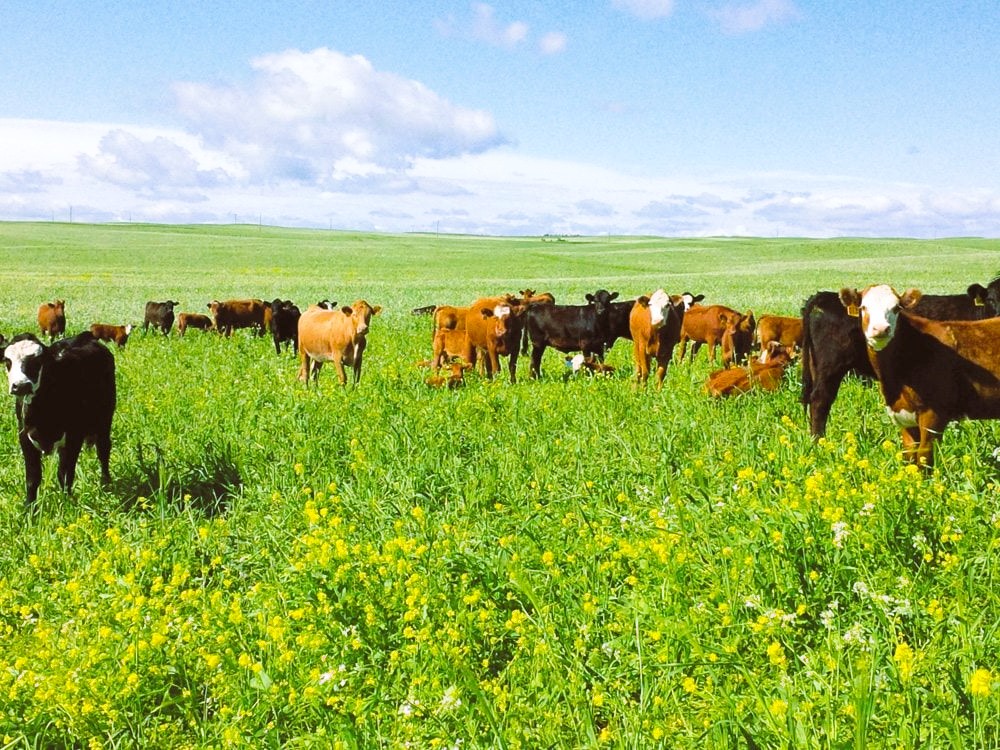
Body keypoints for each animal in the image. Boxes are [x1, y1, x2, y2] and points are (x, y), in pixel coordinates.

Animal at [2, 334, 115, 516]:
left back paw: (106, 484)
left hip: (105, 418)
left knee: (103, 450)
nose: (21, 385)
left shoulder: (74, 437)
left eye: (38, 360)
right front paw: (29, 510)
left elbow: (66, 474)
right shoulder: (24, 438)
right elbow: (33, 478)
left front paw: (67, 504)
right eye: (7, 360)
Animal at [836, 284, 1000, 468]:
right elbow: (910, 457)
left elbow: (924, 458)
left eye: (896, 308)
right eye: (864, 307)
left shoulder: (933, 414)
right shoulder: (904, 418)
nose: (881, 328)